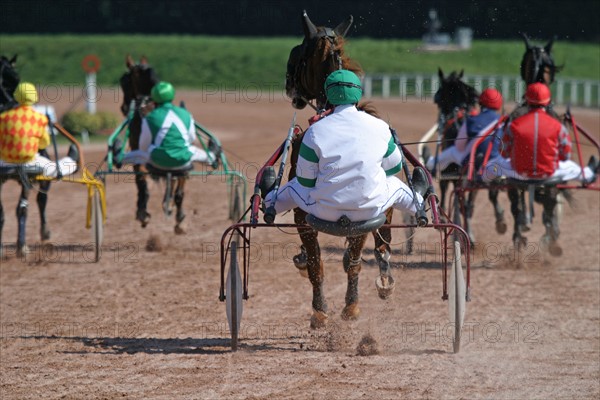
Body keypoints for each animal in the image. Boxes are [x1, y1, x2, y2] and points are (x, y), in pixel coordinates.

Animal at [0, 54, 52, 256]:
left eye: (16, 79)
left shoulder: (27, 177)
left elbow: (22, 209)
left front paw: (22, 246)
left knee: (42, 199)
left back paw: (45, 232)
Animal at [286, 11, 398, 328]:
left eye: (296, 53)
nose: (289, 86)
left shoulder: (302, 214)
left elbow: (317, 262)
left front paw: (320, 310)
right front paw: (349, 305)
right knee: (369, 252)